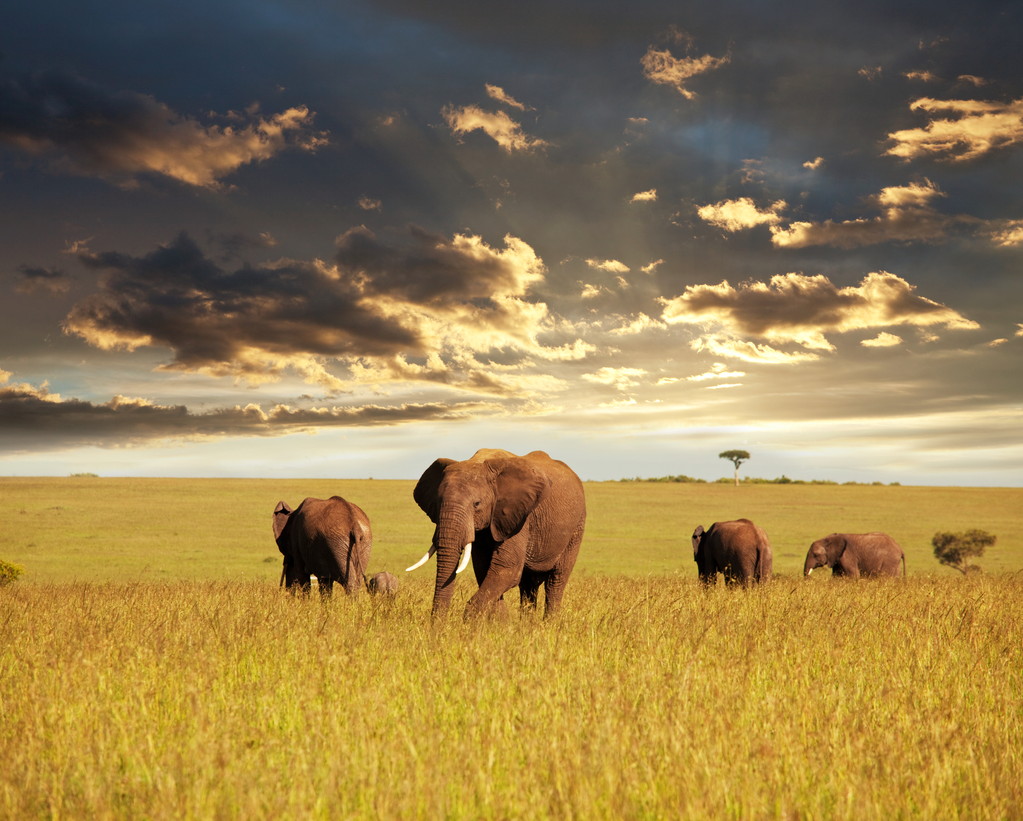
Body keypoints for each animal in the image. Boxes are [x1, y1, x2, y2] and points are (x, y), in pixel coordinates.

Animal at [405, 451, 585, 621]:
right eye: (437, 503)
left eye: (476, 504)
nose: (437, 629)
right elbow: (485, 570)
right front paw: (502, 626)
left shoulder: (519, 517)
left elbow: (507, 569)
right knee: (529, 585)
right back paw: (527, 627)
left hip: (576, 529)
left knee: (555, 582)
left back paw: (549, 625)